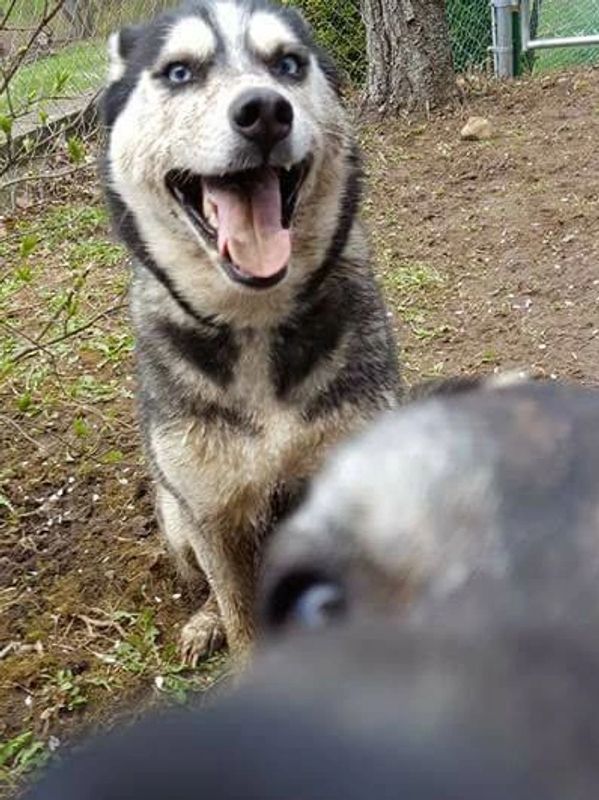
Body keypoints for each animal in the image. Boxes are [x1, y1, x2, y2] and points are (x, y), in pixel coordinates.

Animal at [101, 0, 400, 664]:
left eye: (287, 64)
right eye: (179, 72)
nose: (264, 110)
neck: (254, 320)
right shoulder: (211, 514)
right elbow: (241, 618)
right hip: (175, 515)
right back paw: (203, 623)